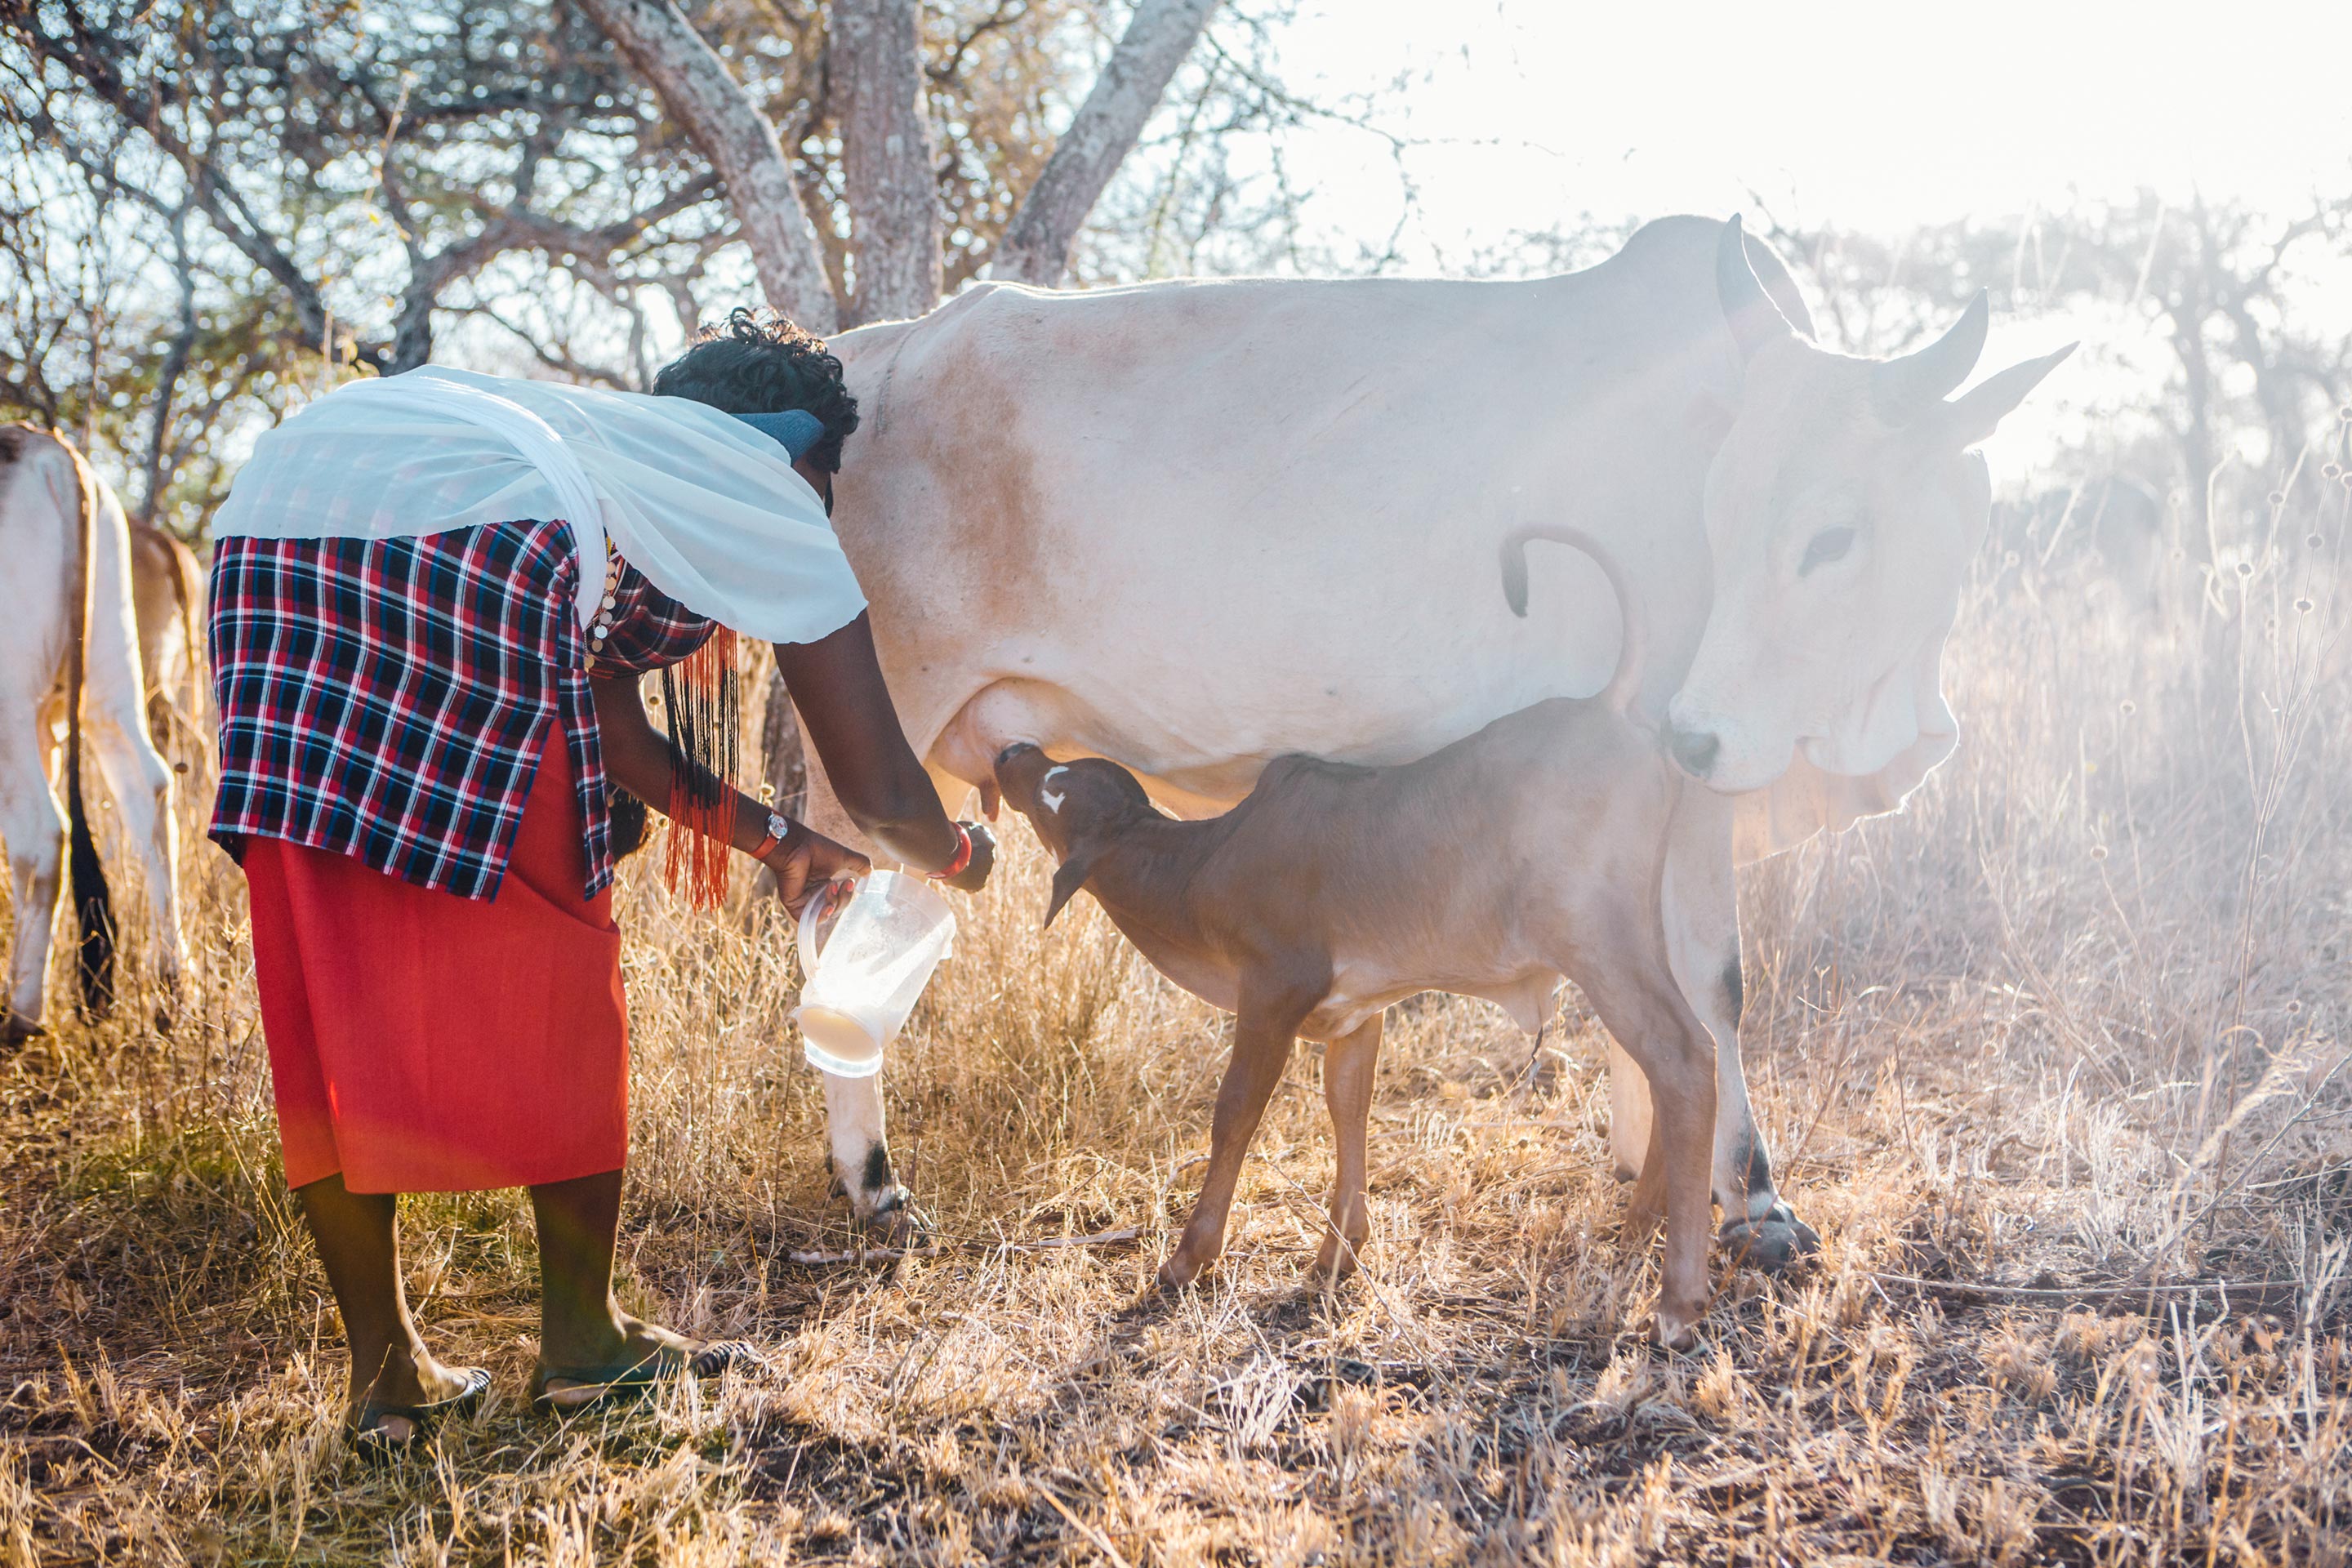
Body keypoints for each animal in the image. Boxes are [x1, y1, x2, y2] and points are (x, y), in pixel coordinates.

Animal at [1001, 531, 1722, 1354]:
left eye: (1053, 790)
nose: (1010, 752)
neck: (1202, 867)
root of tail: (1607, 707)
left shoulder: (1271, 994)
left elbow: (1234, 1113)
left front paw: (1188, 1258)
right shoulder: (1354, 1017)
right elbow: (1349, 1111)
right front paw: (1333, 1258)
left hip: (1599, 943)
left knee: (1685, 1058)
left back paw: (1678, 1295)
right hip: (1638, 938)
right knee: (1668, 1067)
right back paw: (1637, 1230)